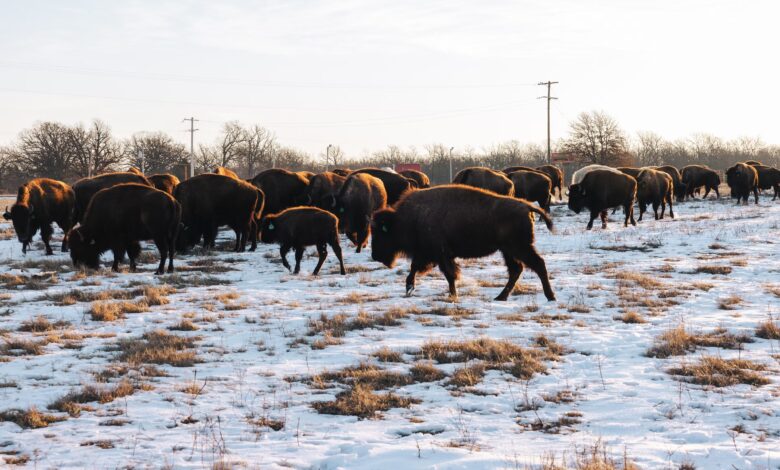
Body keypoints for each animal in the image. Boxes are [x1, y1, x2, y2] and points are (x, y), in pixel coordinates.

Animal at [370, 185, 555, 301]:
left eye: (381, 232)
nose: (375, 256)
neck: (406, 219)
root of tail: (527, 206)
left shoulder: (439, 254)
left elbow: (448, 274)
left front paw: (452, 294)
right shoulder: (429, 254)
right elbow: (415, 267)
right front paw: (409, 287)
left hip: (518, 248)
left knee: (537, 264)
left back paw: (550, 297)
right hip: (508, 251)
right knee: (517, 270)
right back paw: (500, 297)